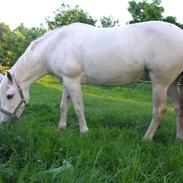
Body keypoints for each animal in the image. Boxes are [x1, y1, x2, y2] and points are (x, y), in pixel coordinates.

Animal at [0, 21, 183, 141]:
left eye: (9, 96)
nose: (3, 123)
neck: (56, 45)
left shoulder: (73, 81)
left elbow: (78, 107)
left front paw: (84, 132)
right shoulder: (66, 81)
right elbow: (64, 106)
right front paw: (61, 128)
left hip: (160, 83)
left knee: (159, 110)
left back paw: (147, 138)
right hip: (172, 84)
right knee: (178, 107)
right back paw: (179, 138)